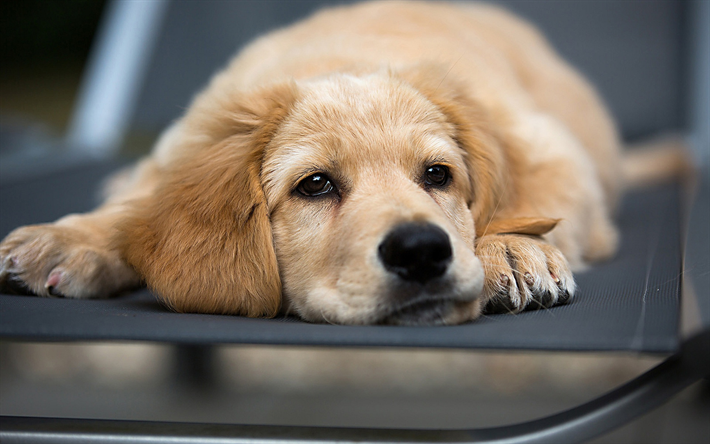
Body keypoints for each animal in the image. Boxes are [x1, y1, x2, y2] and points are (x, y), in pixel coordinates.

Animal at [0, 1, 624, 324]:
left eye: (437, 175)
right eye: (315, 185)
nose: (422, 252)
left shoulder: (548, 145)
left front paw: (509, 249)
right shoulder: (179, 148)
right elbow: (135, 208)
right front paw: (68, 239)